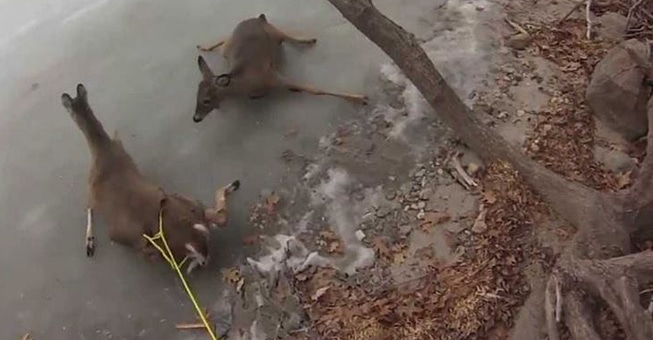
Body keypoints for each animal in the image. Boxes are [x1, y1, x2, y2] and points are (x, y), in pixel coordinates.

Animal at [60, 84, 239, 274]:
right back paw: (233, 185)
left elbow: (88, 208)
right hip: (187, 203)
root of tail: (192, 241)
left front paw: (89, 244)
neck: (103, 150)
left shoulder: (92, 189)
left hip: (142, 245)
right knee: (219, 218)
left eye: (70, 112)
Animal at [191, 14, 370, 124]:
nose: (196, 118)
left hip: (273, 31)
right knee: (224, 41)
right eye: (196, 97)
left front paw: (359, 98)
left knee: (286, 36)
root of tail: (258, 18)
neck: (245, 81)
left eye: (206, 100)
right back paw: (203, 46)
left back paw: (308, 39)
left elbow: (313, 89)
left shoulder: (272, 75)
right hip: (232, 45)